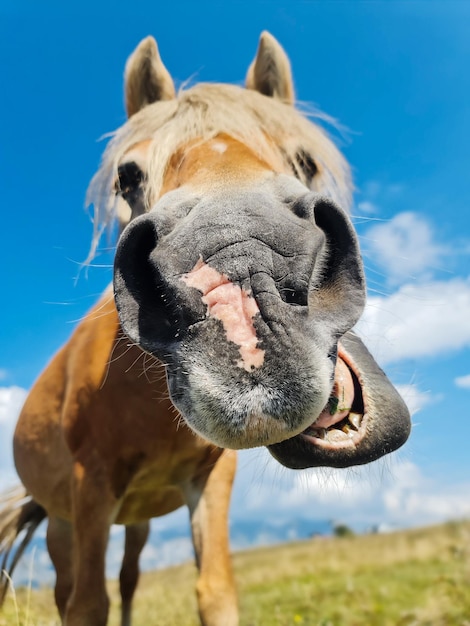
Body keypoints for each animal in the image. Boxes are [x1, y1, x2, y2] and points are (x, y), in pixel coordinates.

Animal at [0, 30, 412, 624]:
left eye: (307, 160)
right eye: (128, 176)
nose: (244, 266)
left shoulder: (210, 482)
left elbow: (214, 591)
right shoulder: (90, 487)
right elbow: (87, 603)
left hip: (136, 519)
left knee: (129, 578)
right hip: (64, 522)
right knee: (72, 590)